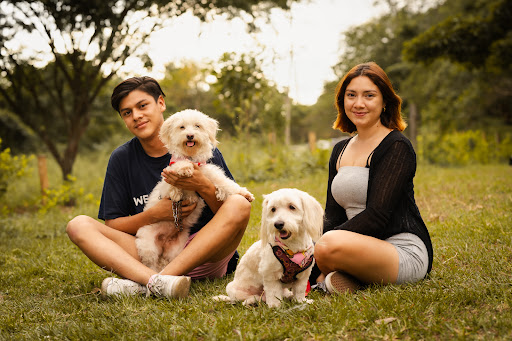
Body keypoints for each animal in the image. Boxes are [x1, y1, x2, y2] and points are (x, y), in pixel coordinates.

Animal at [136, 109, 254, 270]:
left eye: (197, 126)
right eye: (182, 127)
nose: (190, 135)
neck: (191, 158)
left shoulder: (209, 175)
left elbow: (226, 184)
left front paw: (244, 193)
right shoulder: (169, 178)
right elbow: (177, 174)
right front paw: (185, 168)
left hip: (176, 249)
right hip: (148, 246)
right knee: (151, 264)